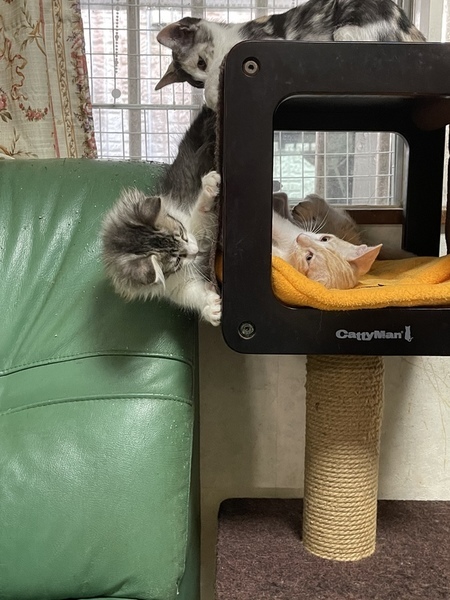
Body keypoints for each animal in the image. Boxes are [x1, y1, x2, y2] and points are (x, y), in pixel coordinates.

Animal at [102, 106, 223, 326]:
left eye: (182, 233)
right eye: (177, 261)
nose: (196, 252)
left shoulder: (198, 226)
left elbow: (201, 213)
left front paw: (208, 187)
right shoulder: (177, 286)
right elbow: (192, 295)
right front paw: (211, 308)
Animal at [155, 0, 425, 110]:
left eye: (201, 63)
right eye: (195, 82)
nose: (206, 76)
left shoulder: (265, 41)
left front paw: (213, 97)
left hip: (348, 31)